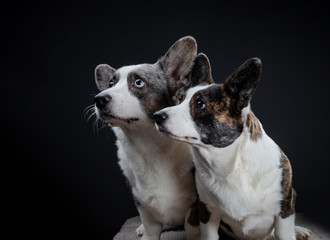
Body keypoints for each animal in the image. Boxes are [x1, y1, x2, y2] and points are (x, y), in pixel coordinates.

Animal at [153, 57, 310, 239]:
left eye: (199, 104)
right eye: (180, 99)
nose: (156, 117)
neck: (231, 165)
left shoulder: (284, 209)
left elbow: (284, 232)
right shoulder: (208, 213)